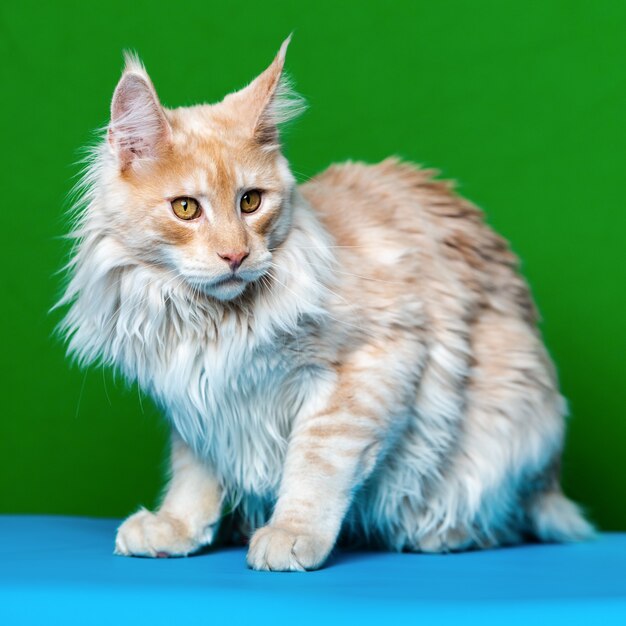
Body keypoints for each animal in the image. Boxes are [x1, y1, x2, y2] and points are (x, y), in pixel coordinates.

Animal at [61, 36, 592, 568]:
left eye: (251, 202)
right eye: (186, 208)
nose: (235, 255)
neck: (209, 320)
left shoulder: (374, 362)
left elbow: (317, 463)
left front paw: (292, 534)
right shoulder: (198, 403)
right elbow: (194, 476)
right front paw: (176, 527)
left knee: (500, 521)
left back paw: (439, 535)